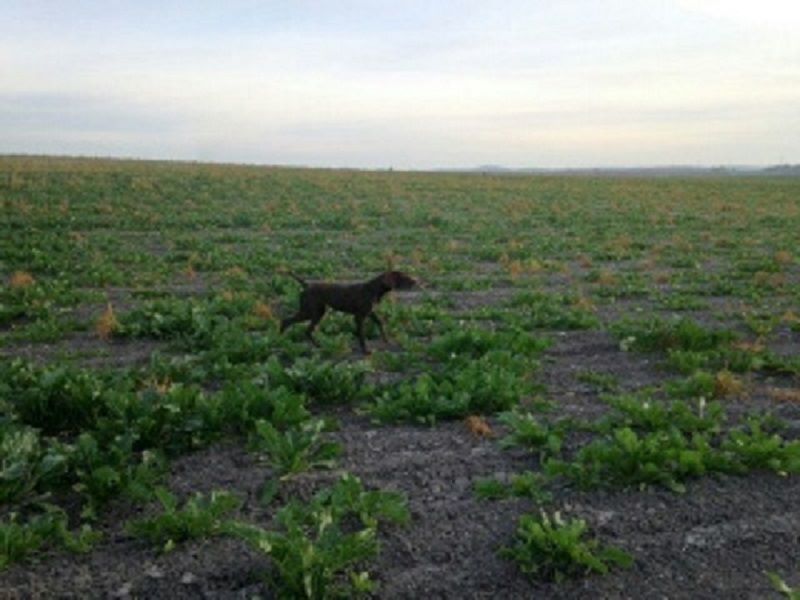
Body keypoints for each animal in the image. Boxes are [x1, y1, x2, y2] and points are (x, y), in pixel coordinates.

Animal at [280, 270, 418, 352]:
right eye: (403, 277)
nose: (416, 280)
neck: (373, 289)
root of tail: (307, 284)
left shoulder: (370, 313)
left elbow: (380, 323)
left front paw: (386, 340)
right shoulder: (359, 316)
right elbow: (361, 334)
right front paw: (365, 350)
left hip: (315, 312)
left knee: (297, 326)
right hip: (311, 312)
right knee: (293, 324)